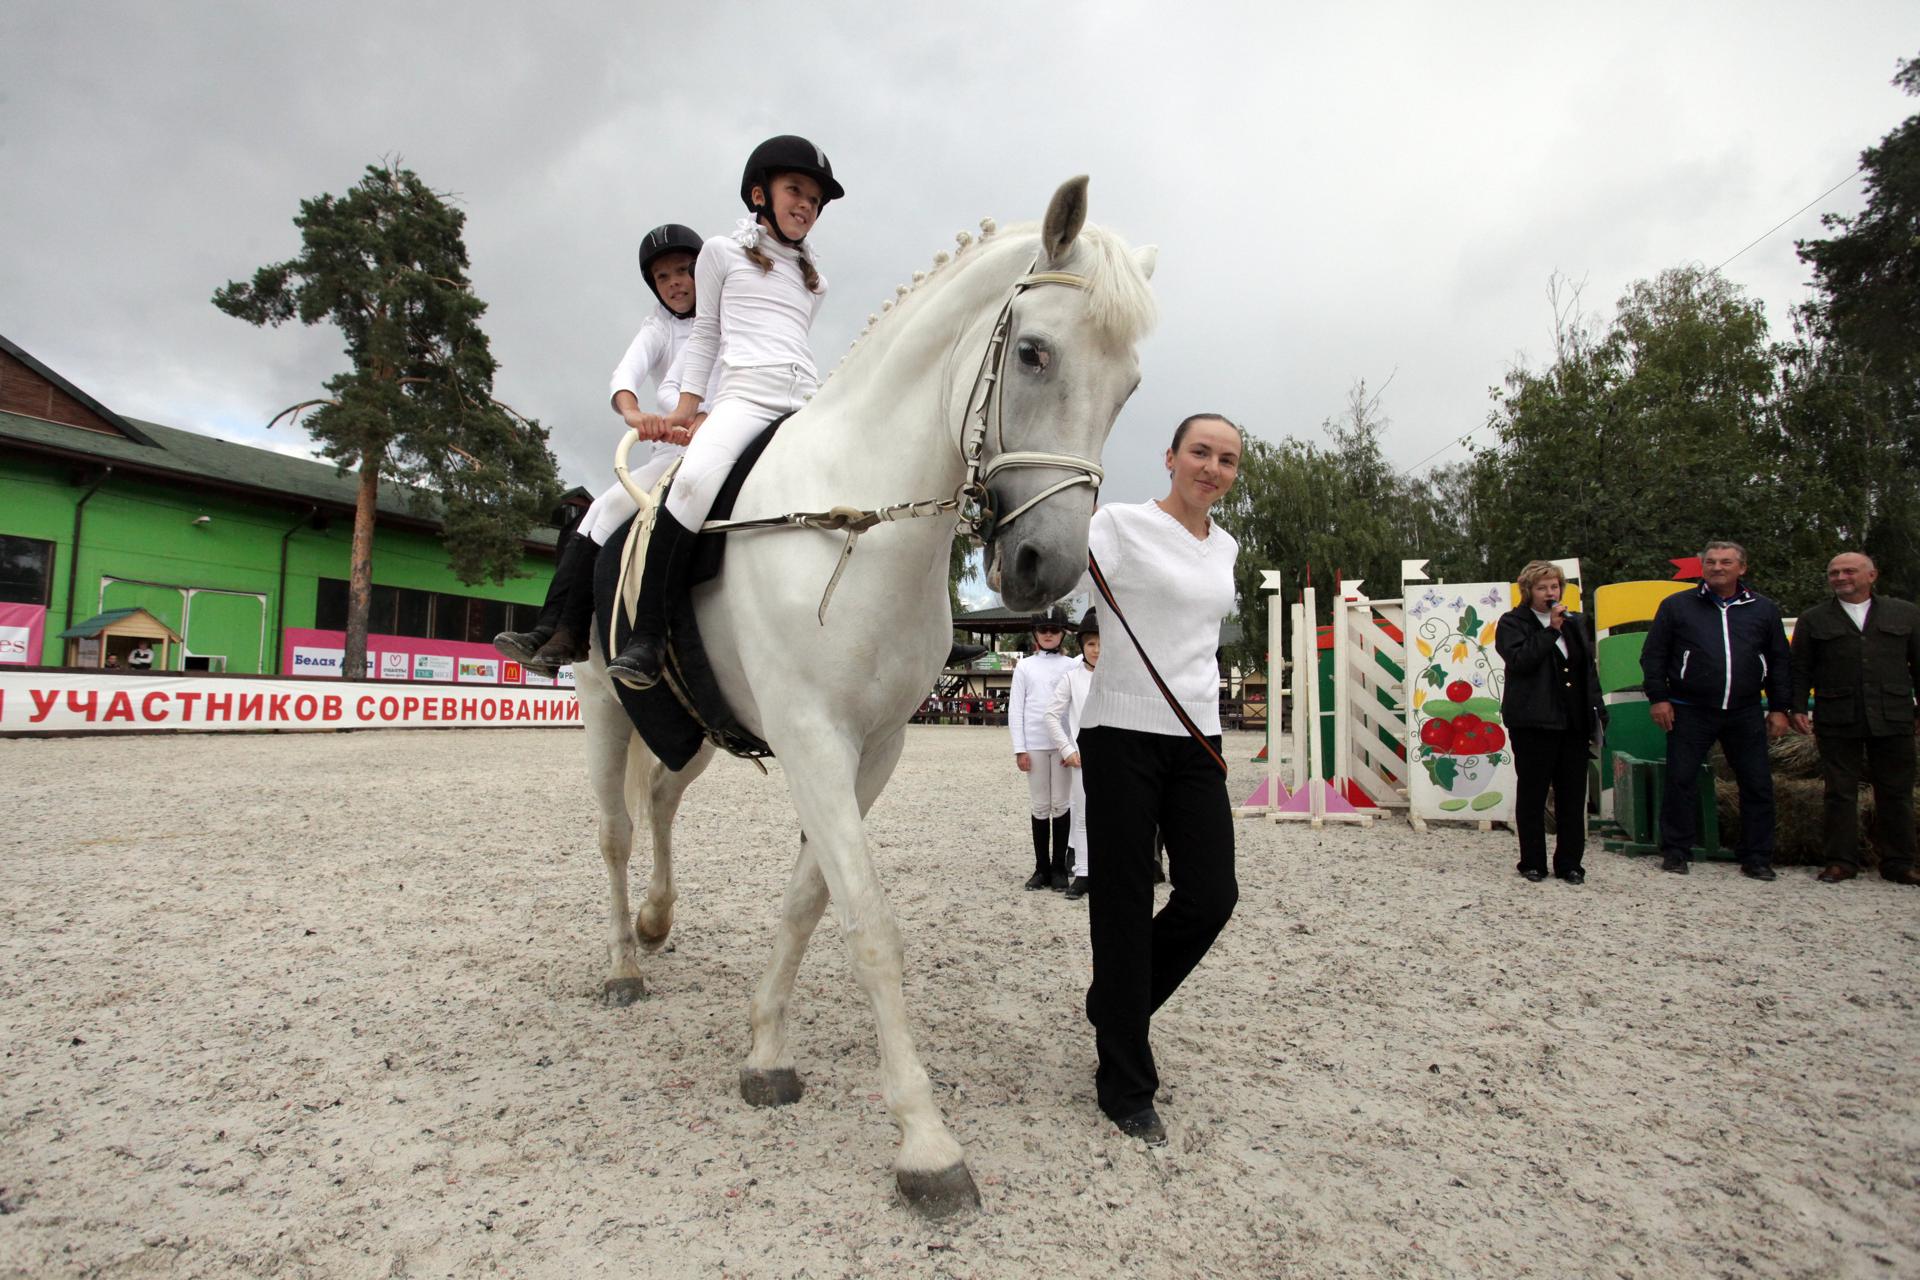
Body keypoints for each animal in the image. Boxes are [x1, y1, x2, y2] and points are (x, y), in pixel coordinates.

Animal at [560, 175, 1144, 1220]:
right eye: (1034, 352)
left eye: (1130, 389)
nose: (1046, 567)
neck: (858, 516)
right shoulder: (811, 738)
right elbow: (871, 925)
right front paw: (926, 1144)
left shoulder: (871, 749)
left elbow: (808, 899)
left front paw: (764, 1051)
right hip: (602, 707)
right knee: (616, 833)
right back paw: (625, 961)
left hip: (694, 730)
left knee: (660, 801)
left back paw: (658, 926)